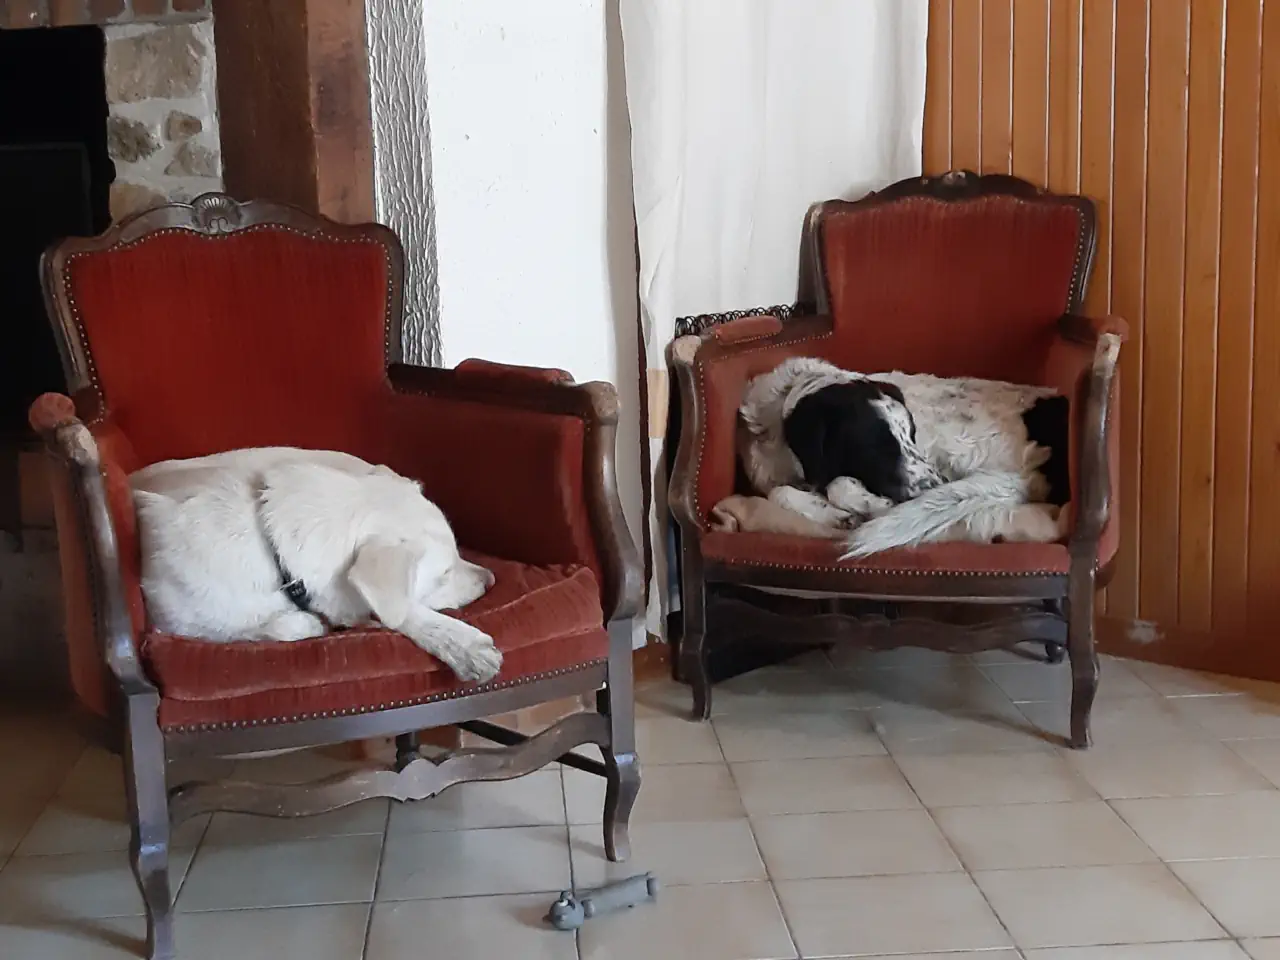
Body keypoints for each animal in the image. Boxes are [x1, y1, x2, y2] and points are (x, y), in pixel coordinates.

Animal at [131, 450, 504, 686]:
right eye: (444, 575)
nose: (490, 580)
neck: (272, 550)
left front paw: (458, 642)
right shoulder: (175, 622)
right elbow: (282, 626)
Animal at [737, 358, 1075, 555]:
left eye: (912, 435)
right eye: (877, 447)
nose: (937, 486)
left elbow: (837, 486)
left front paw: (861, 509)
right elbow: (779, 492)